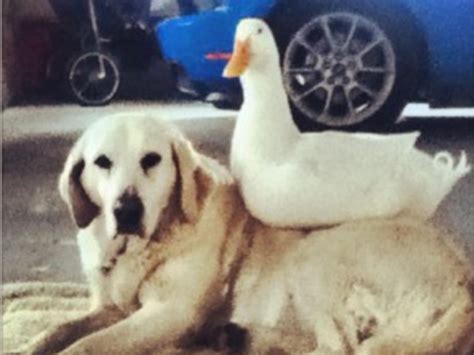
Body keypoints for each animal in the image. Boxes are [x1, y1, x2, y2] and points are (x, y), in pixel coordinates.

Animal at [29, 114, 474, 355]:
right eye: (101, 162)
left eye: (151, 160)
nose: (126, 210)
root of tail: (463, 280)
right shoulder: (111, 307)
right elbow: (59, 329)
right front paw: (35, 343)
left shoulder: (169, 313)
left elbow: (87, 344)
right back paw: (235, 336)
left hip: (313, 256)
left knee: (340, 348)